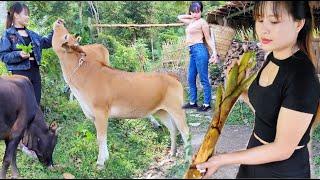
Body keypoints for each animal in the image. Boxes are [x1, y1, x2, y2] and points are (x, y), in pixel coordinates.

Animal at [52, 19, 190, 168]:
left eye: (66, 35)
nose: (59, 21)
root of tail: (171, 76)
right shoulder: (93, 115)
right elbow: (102, 138)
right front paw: (106, 158)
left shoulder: (101, 111)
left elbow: (101, 137)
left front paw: (100, 163)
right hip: (161, 110)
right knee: (173, 128)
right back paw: (172, 153)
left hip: (176, 108)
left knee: (185, 130)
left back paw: (187, 159)